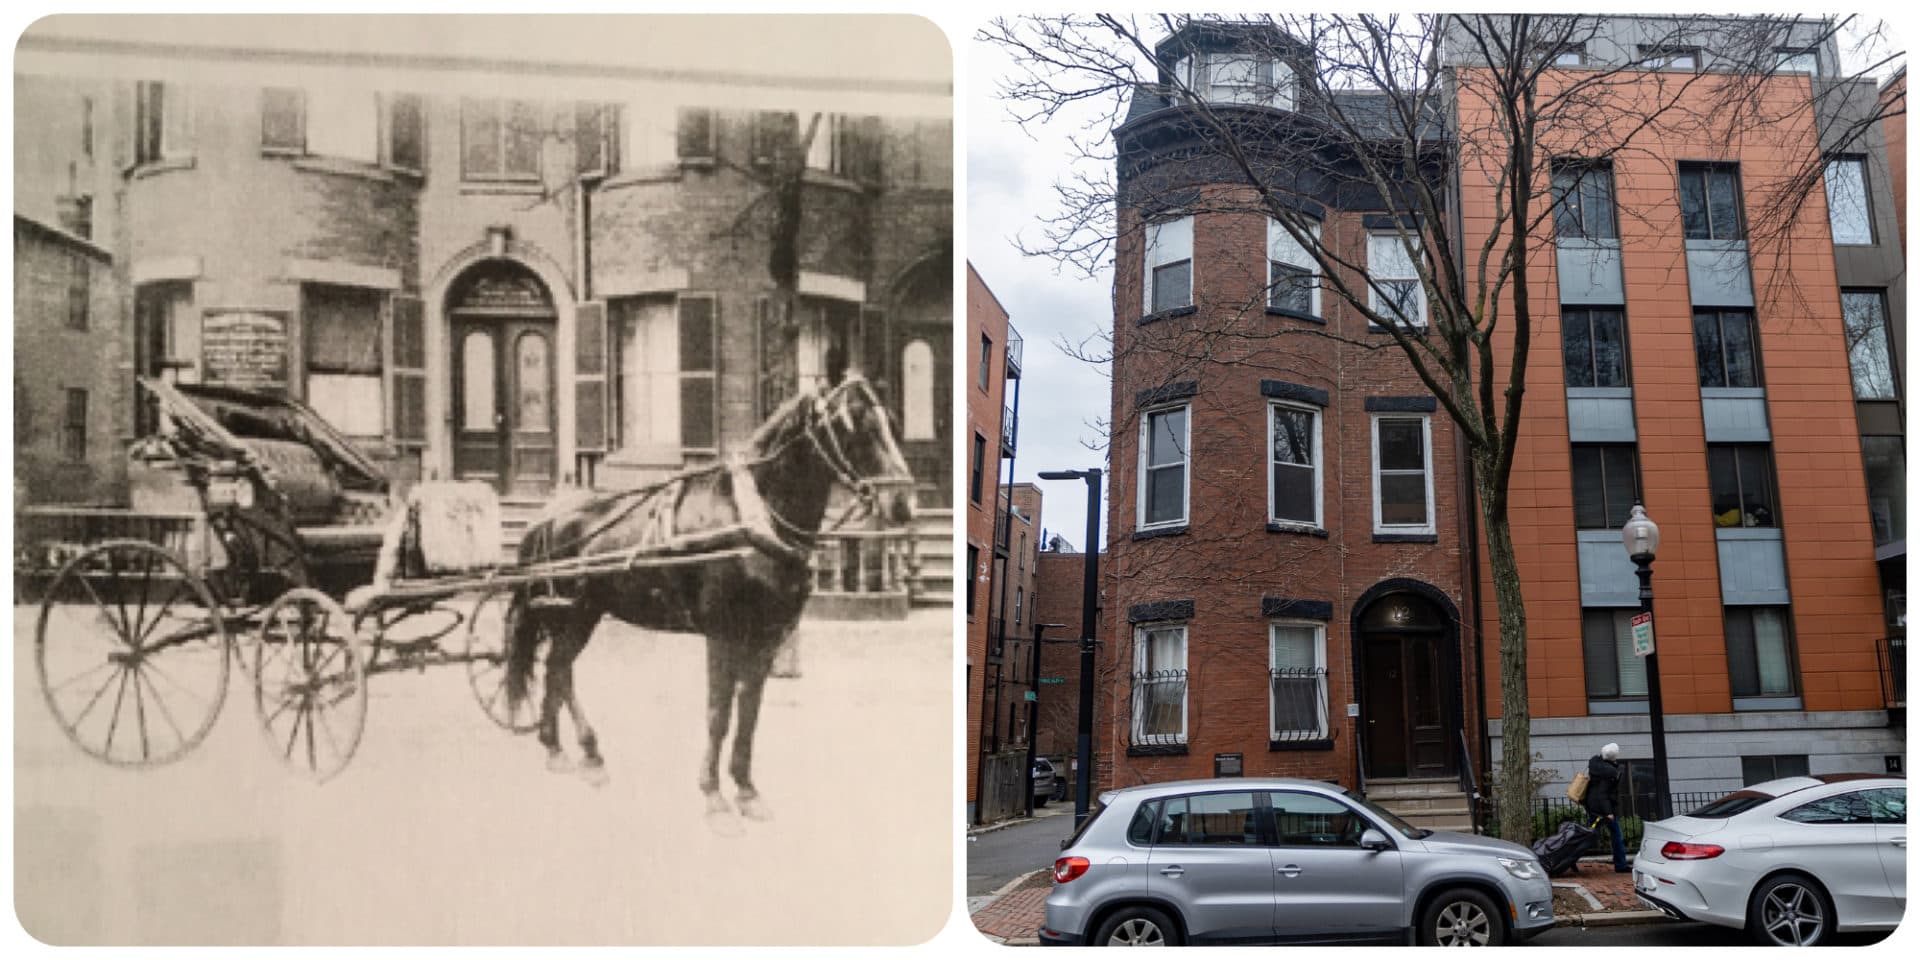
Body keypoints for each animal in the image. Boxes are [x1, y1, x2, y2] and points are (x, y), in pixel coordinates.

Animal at [499, 370, 910, 829]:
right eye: (853, 425)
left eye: (892, 423)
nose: (903, 503)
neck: (751, 517)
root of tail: (546, 514)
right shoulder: (722, 633)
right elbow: (719, 713)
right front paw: (714, 797)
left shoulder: (766, 636)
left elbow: (749, 712)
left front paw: (746, 790)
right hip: (574, 613)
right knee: (559, 668)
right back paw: (580, 750)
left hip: (579, 612)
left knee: (557, 670)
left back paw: (563, 749)